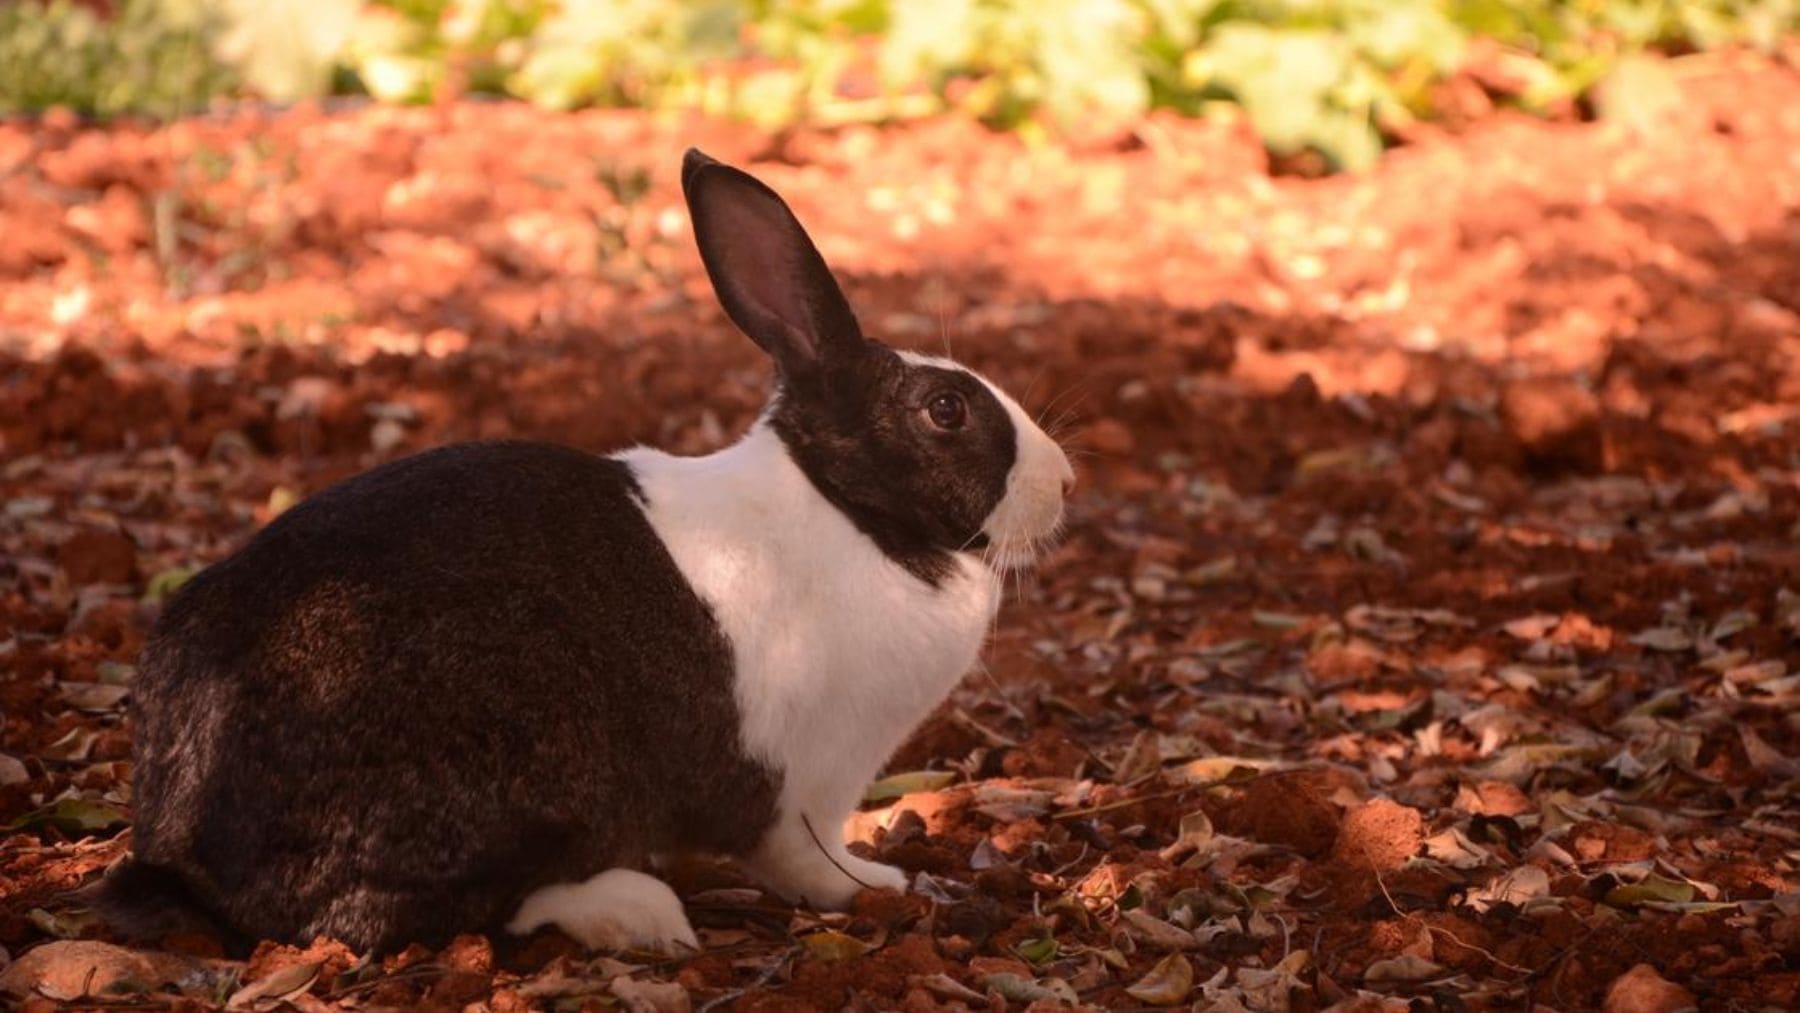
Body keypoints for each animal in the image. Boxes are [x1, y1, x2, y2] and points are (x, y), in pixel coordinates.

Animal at [90, 149, 1075, 956]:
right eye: (945, 410)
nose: (1065, 484)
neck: (849, 511)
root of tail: (182, 836)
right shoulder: (802, 785)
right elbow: (809, 861)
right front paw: (881, 883)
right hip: (507, 785)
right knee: (424, 911)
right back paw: (637, 911)